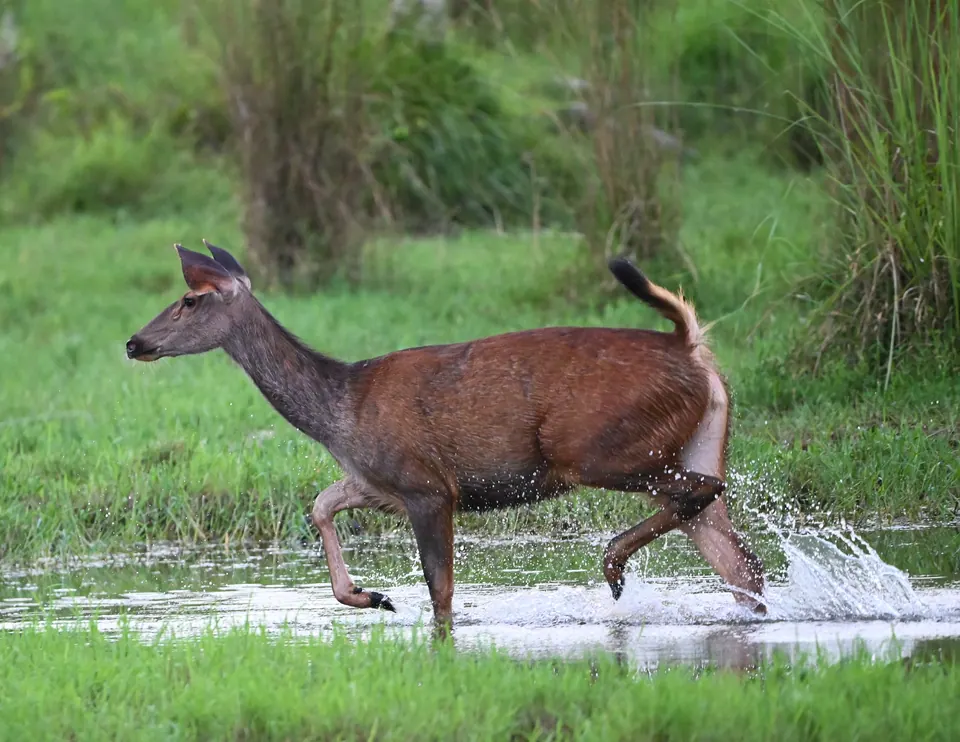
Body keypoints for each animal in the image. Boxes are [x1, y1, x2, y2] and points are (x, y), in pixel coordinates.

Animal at [126, 241, 767, 626]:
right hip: (696, 438)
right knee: (739, 557)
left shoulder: (427, 485)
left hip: (602, 448)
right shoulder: (375, 481)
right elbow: (320, 504)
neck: (341, 411)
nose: (134, 342)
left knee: (702, 494)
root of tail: (691, 347)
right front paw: (371, 596)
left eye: (189, 300)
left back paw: (612, 564)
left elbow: (441, 590)